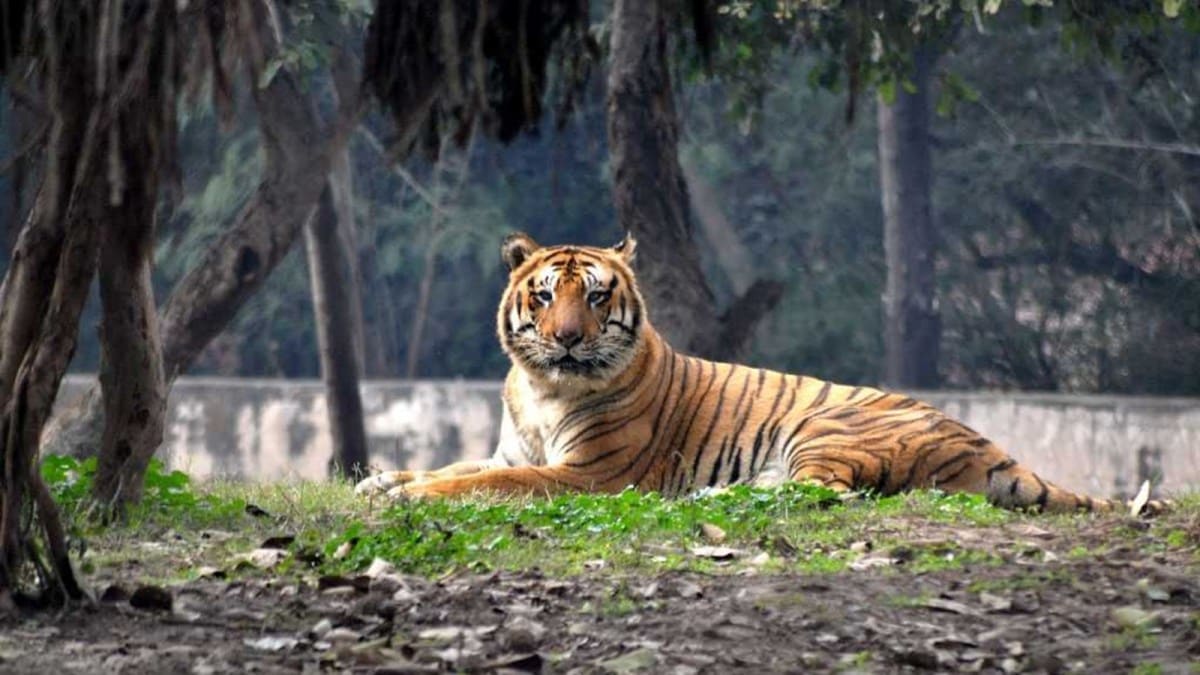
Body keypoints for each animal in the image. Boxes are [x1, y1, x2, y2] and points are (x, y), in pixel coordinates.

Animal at [356, 232, 1166, 514]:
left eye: (597, 295)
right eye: (546, 295)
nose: (566, 340)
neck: (543, 388)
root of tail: (989, 443)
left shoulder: (588, 474)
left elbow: (481, 484)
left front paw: (410, 492)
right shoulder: (507, 448)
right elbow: (456, 464)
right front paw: (381, 479)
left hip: (826, 426)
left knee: (826, 492)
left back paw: (710, 493)